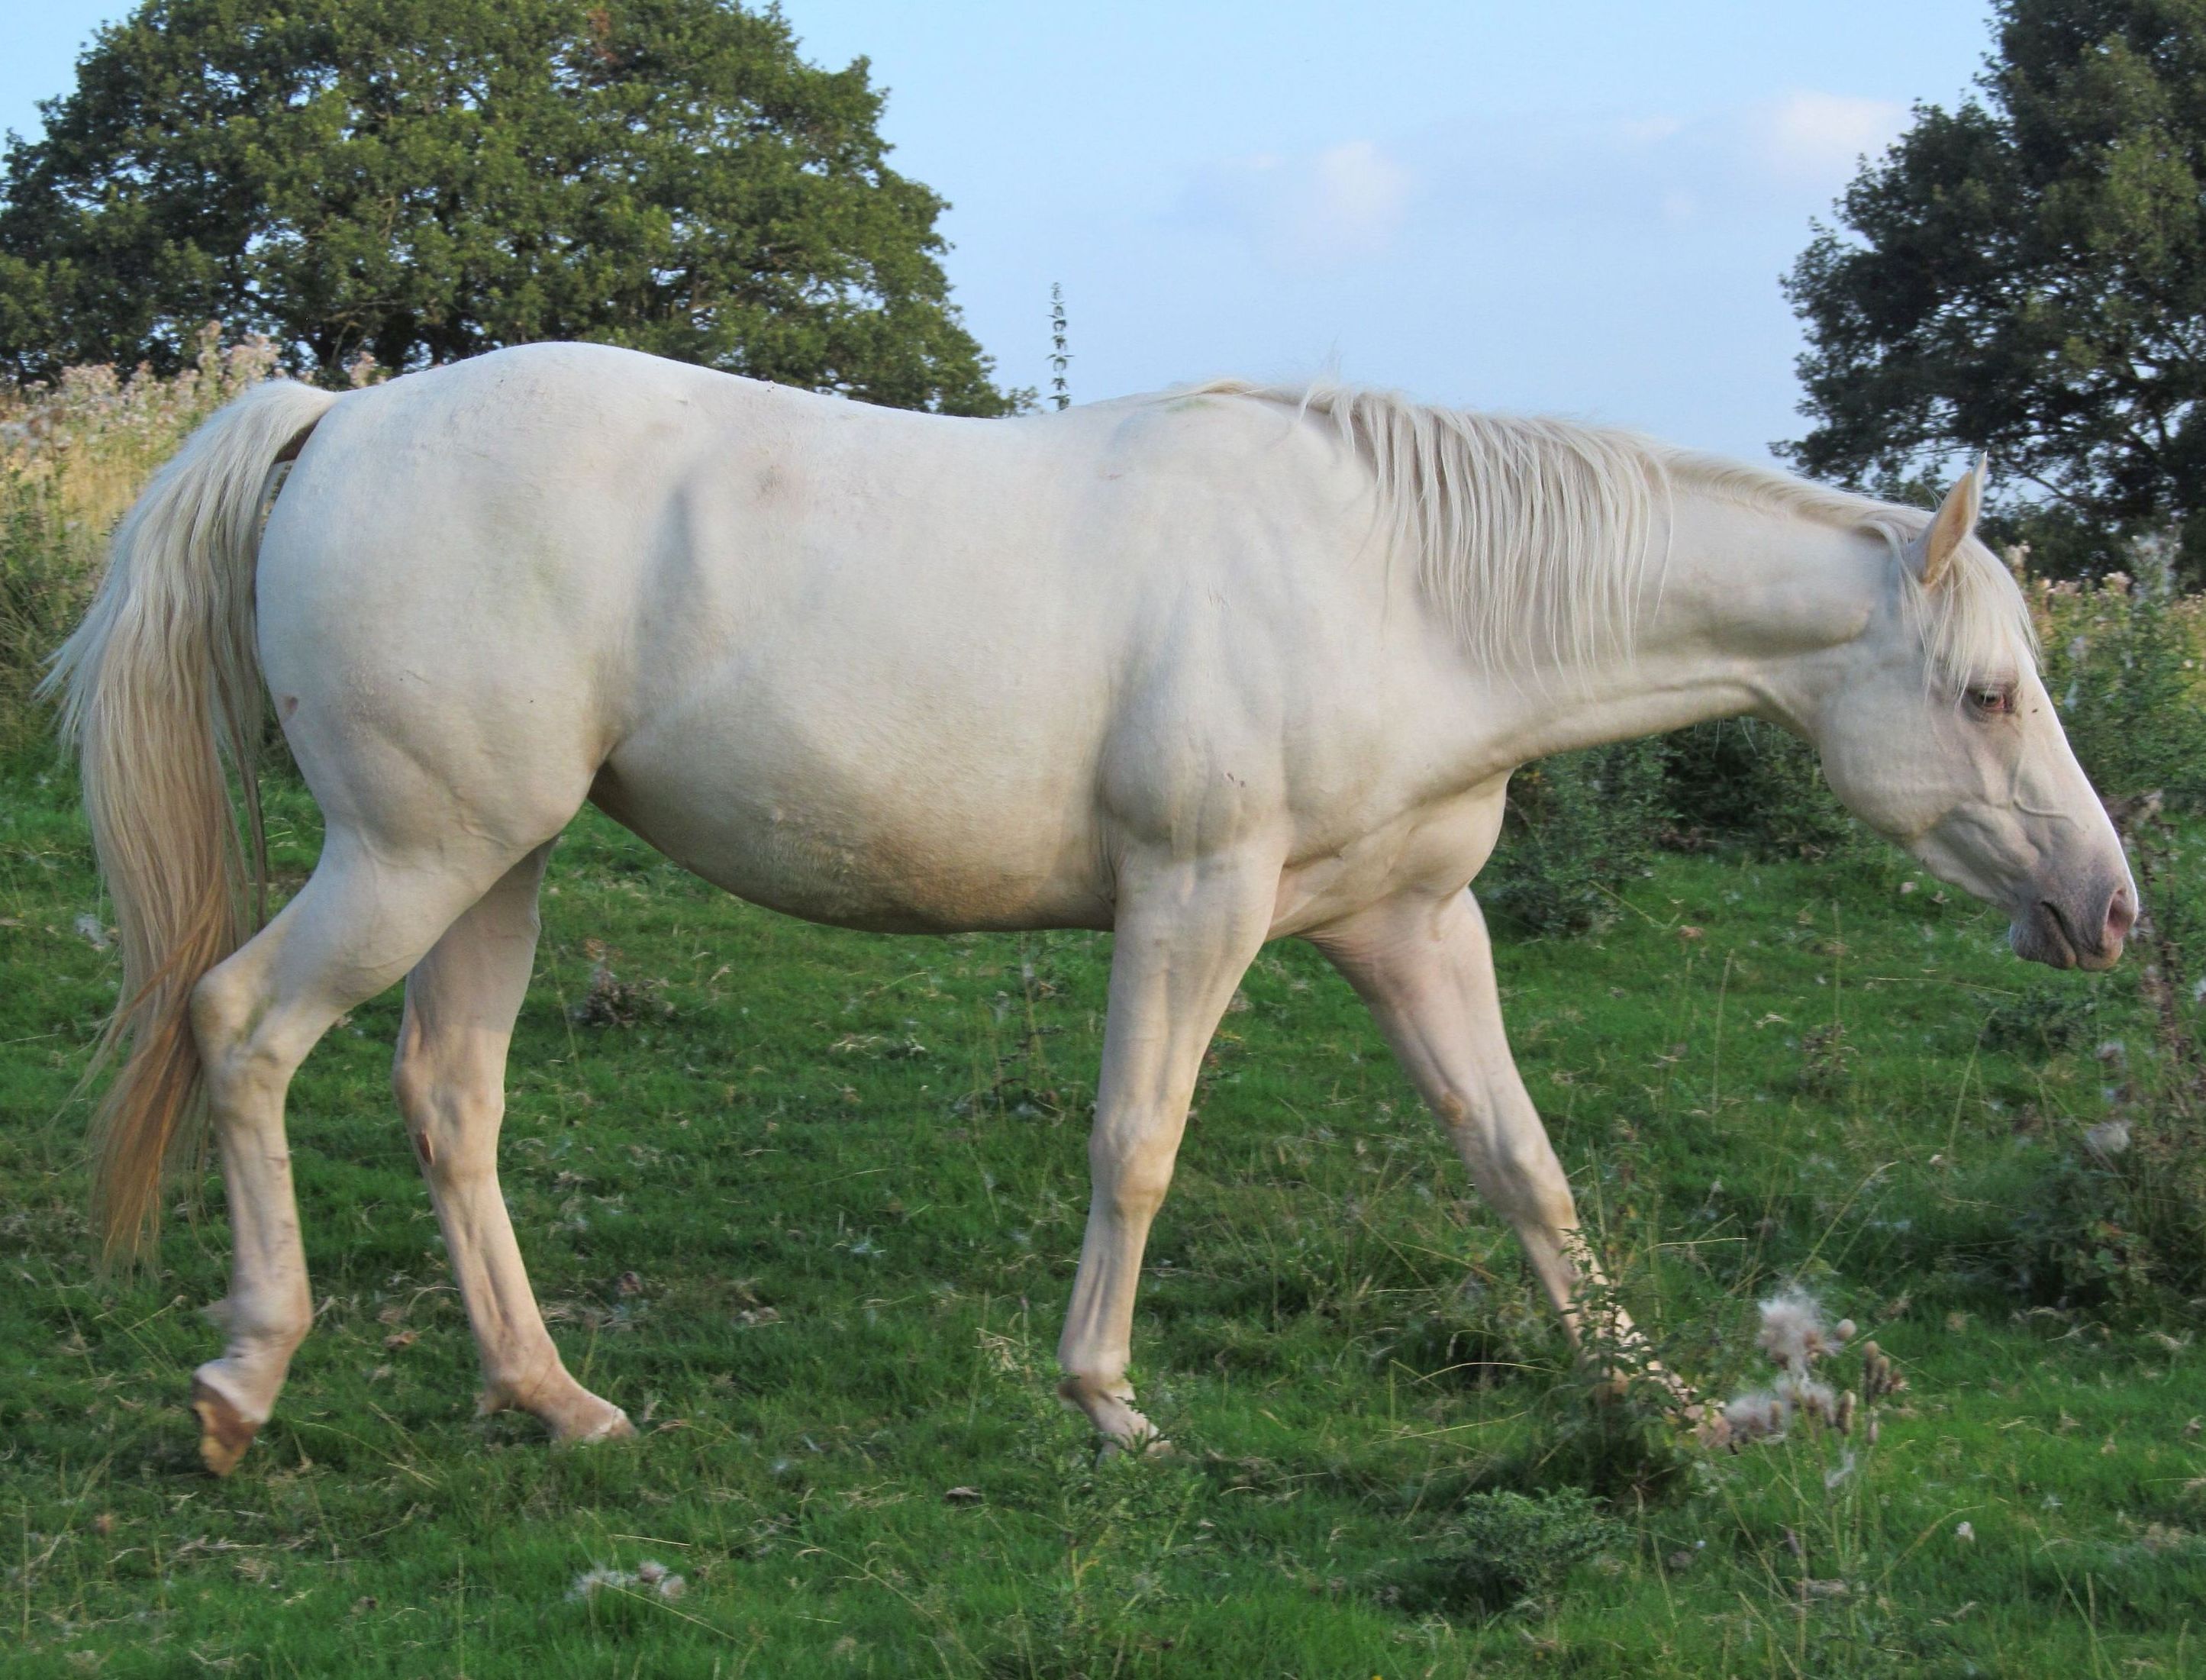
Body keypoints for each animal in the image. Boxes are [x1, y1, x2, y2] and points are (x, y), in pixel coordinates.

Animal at [51, 343, 2126, 1463]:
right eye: (1983, 693)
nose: (2105, 908)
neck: (1398, 585)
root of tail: (335, 421)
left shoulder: (1411, 928)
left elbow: (1517, 1162)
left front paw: (1662, 1396)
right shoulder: (1192, 899)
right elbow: (1136, 1141)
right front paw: (1108, 1402)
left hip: (496, 861)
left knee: (448, 1098)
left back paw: (552, 1397)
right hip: (415, 853)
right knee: (239, 1026)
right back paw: (243, 1375)